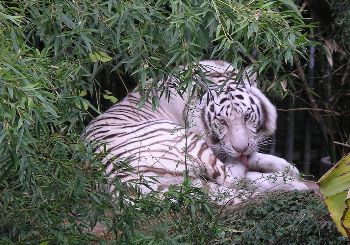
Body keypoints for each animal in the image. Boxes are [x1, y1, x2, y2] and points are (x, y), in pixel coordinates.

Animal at [83, 59, 308, 203]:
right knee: (231, 177)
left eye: (246, 117)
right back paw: (295, 184)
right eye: (222, 121)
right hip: (184, 140)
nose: (241, 148)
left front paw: (286, 166)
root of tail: (123, 181)